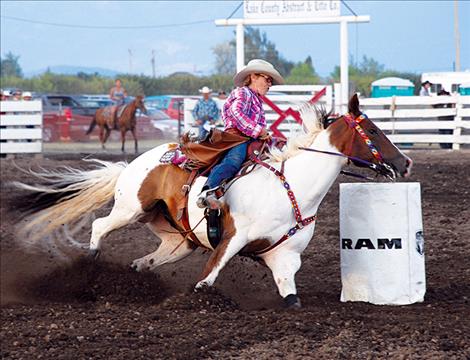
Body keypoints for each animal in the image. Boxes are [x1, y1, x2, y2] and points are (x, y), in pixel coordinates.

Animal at [15, 94, 412, 308]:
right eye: (372, 129)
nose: (405, 163)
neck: (293, 188)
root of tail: (135, 163)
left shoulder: (284, 257)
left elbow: (291, 298)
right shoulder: (232, 238)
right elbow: (206, 280)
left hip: (180, 241)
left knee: (147, 260)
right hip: (132, 208)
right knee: (100, 225)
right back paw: (91, 267)